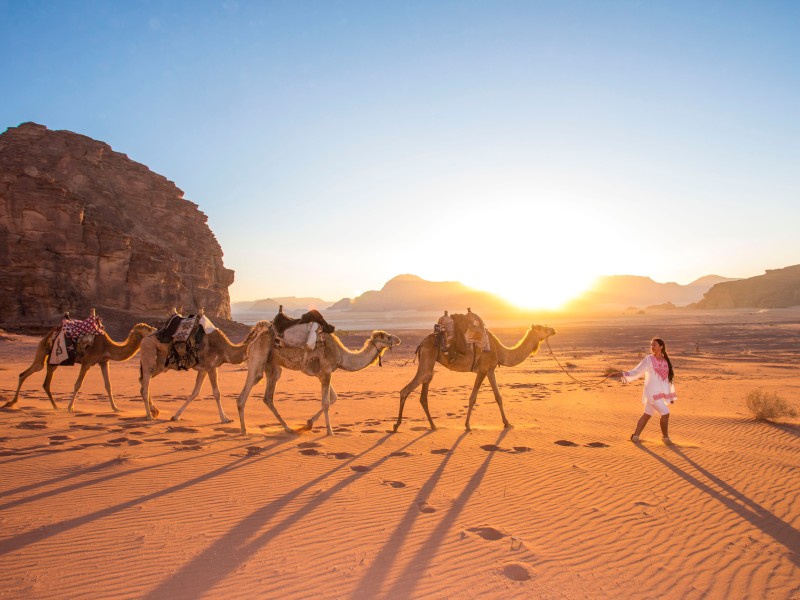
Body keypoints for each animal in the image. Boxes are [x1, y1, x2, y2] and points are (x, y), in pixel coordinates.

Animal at [4, 322, 157, 412]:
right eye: (147, 328)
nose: (156, 330)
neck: (107, 347)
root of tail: (47, 336)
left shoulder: (103, 362)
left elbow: (108, 385)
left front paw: (116, 408)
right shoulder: (86, 362)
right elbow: (78, 384)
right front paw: (70, 407)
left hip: (53, 362)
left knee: (45, 383)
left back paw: (55, 406)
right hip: (43, 352)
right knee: (27, 373)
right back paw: (11, 403)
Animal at [138, 319, 269, 422]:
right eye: (268, 327)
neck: (225, 350)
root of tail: (143, 340)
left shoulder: (204, 369)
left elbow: (195, 392)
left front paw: (175, 416)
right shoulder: (211, 367)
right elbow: (217, 393)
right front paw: (225, 418)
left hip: (161, 365)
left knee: (143, 382)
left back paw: (154, 411)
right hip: (149, 354)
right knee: (145, 386)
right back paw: (149, 416)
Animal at [237, 328, 401, 436]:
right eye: (387, 337)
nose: (398, 339)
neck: (342, 356)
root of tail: (254, 339)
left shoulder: (322, 374)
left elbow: (333, 398)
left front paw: (309, 422)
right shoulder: (327, 371)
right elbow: (326, 402)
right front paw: (330, 431)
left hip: (272, 366)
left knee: (268, 397)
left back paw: (287, 428)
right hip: (258, 358)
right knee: (245, 393)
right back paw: (244, 431)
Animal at [394, 323, 556, 431]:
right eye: (542, 328)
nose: (553, 330)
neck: (500, 351)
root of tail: (421, 344)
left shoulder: (490, 370)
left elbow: (498, 396)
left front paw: (507, 423)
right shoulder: (483, 370)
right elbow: (474, 398)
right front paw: (468, 425)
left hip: (430, 365)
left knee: (424, 394)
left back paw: (433, 425)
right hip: (427, 360)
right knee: (405, 390)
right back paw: (396, 425)